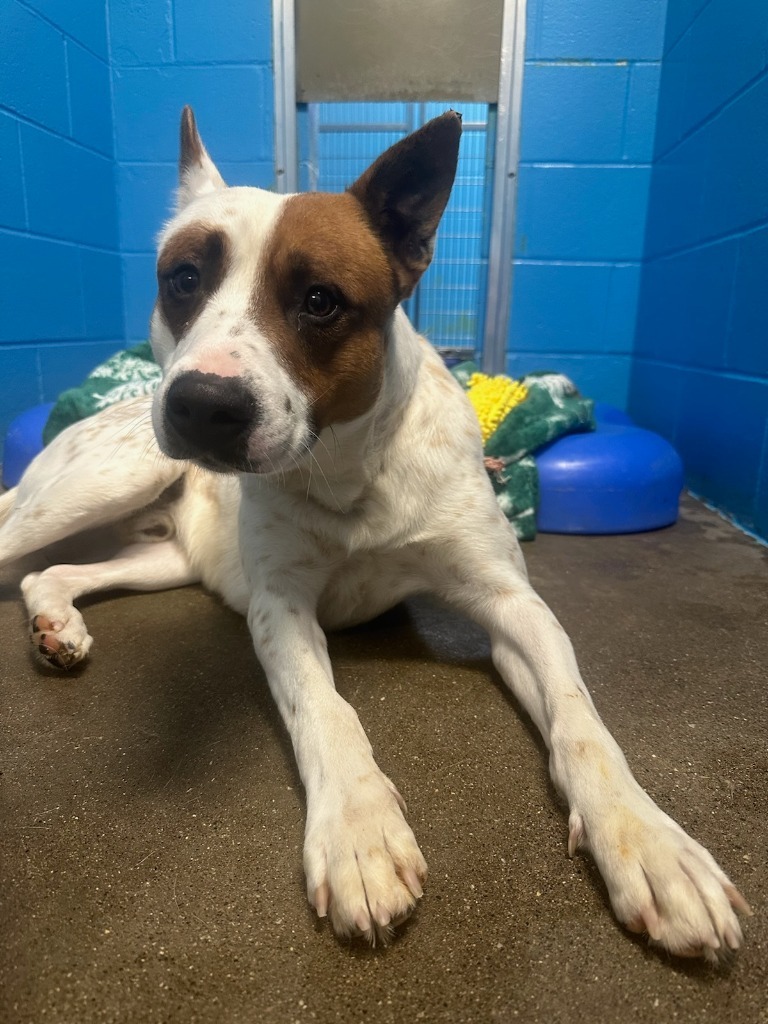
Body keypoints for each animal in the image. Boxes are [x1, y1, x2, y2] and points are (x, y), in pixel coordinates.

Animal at [0, 110, 753, 958]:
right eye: (184, 279)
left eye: (320, 300)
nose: (202, 404)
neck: (350, 468)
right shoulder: (281, 608)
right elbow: (327, 711)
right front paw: (359, 832)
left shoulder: (513, 606)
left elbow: (583, 720)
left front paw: (652, 843)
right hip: (108, 479)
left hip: (167, 554)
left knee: (51, 572)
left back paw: (57, 623)